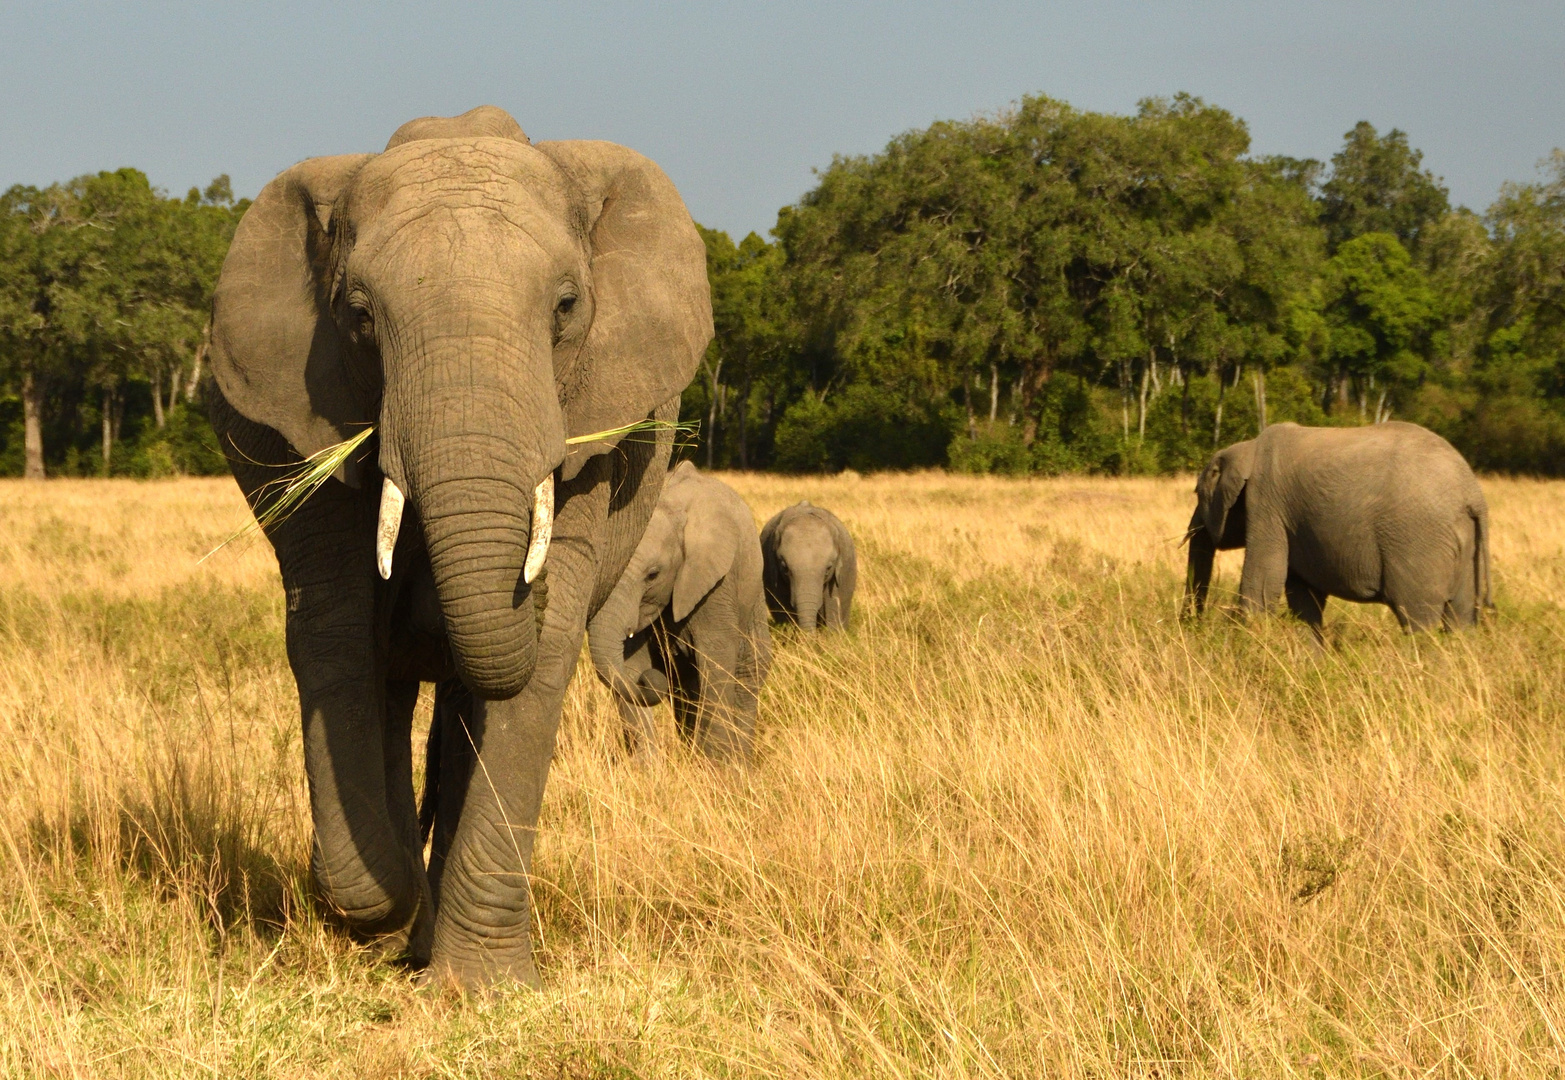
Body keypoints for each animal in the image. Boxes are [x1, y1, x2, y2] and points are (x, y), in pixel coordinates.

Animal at [206, 107, 710, 982]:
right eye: (360, 316)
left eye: (566, 307)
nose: (651, 681)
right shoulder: (299, 418)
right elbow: (336, 636)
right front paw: (380, 898)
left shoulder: (601, 433)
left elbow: (537, 664)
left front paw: (481, 991)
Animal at [588, 457, 769, 760]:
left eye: (653, 575)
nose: (651, 680)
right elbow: (630, 664)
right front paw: (645, 765)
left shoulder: (715, 584)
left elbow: (716, 660)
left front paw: (717, 766)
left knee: (747, 674)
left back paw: (740, 762)